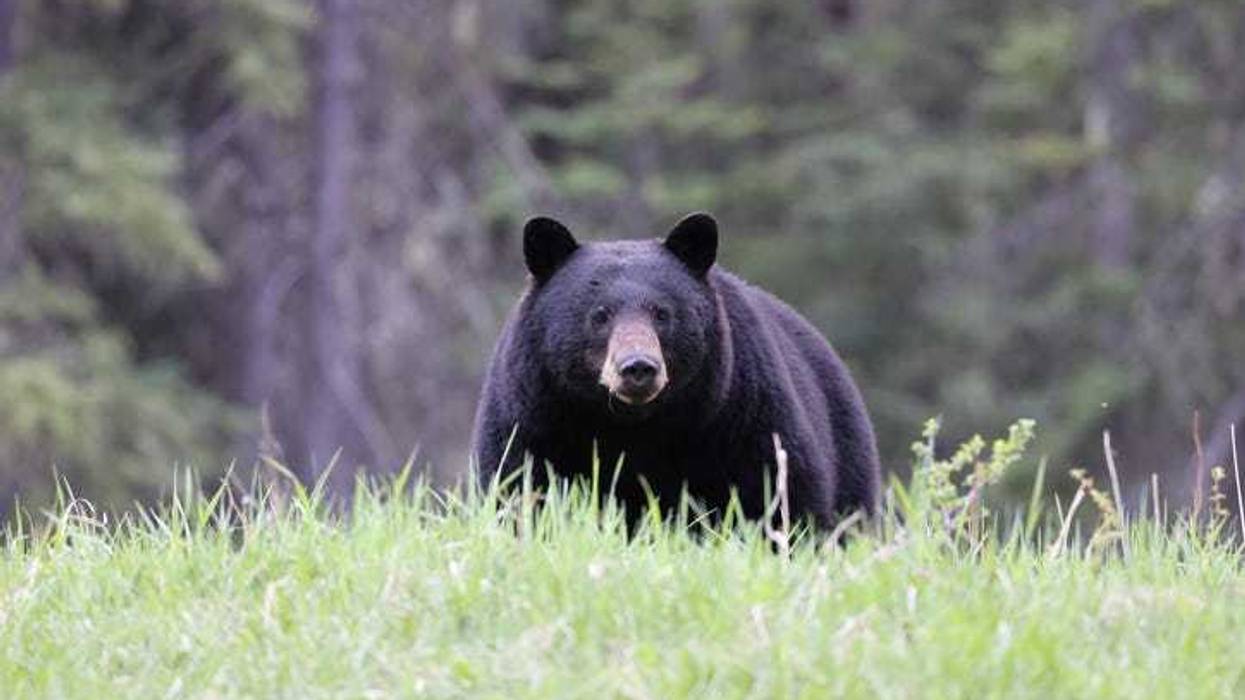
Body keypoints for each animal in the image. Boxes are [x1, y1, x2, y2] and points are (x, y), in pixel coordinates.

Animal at [471, 212, 881, 529]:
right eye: (599, 315)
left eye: (661, 313)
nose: (638, 367)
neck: (632, 427)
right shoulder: (533, 420)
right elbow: (518, 492)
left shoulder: (743, 416)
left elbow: (779, 494)